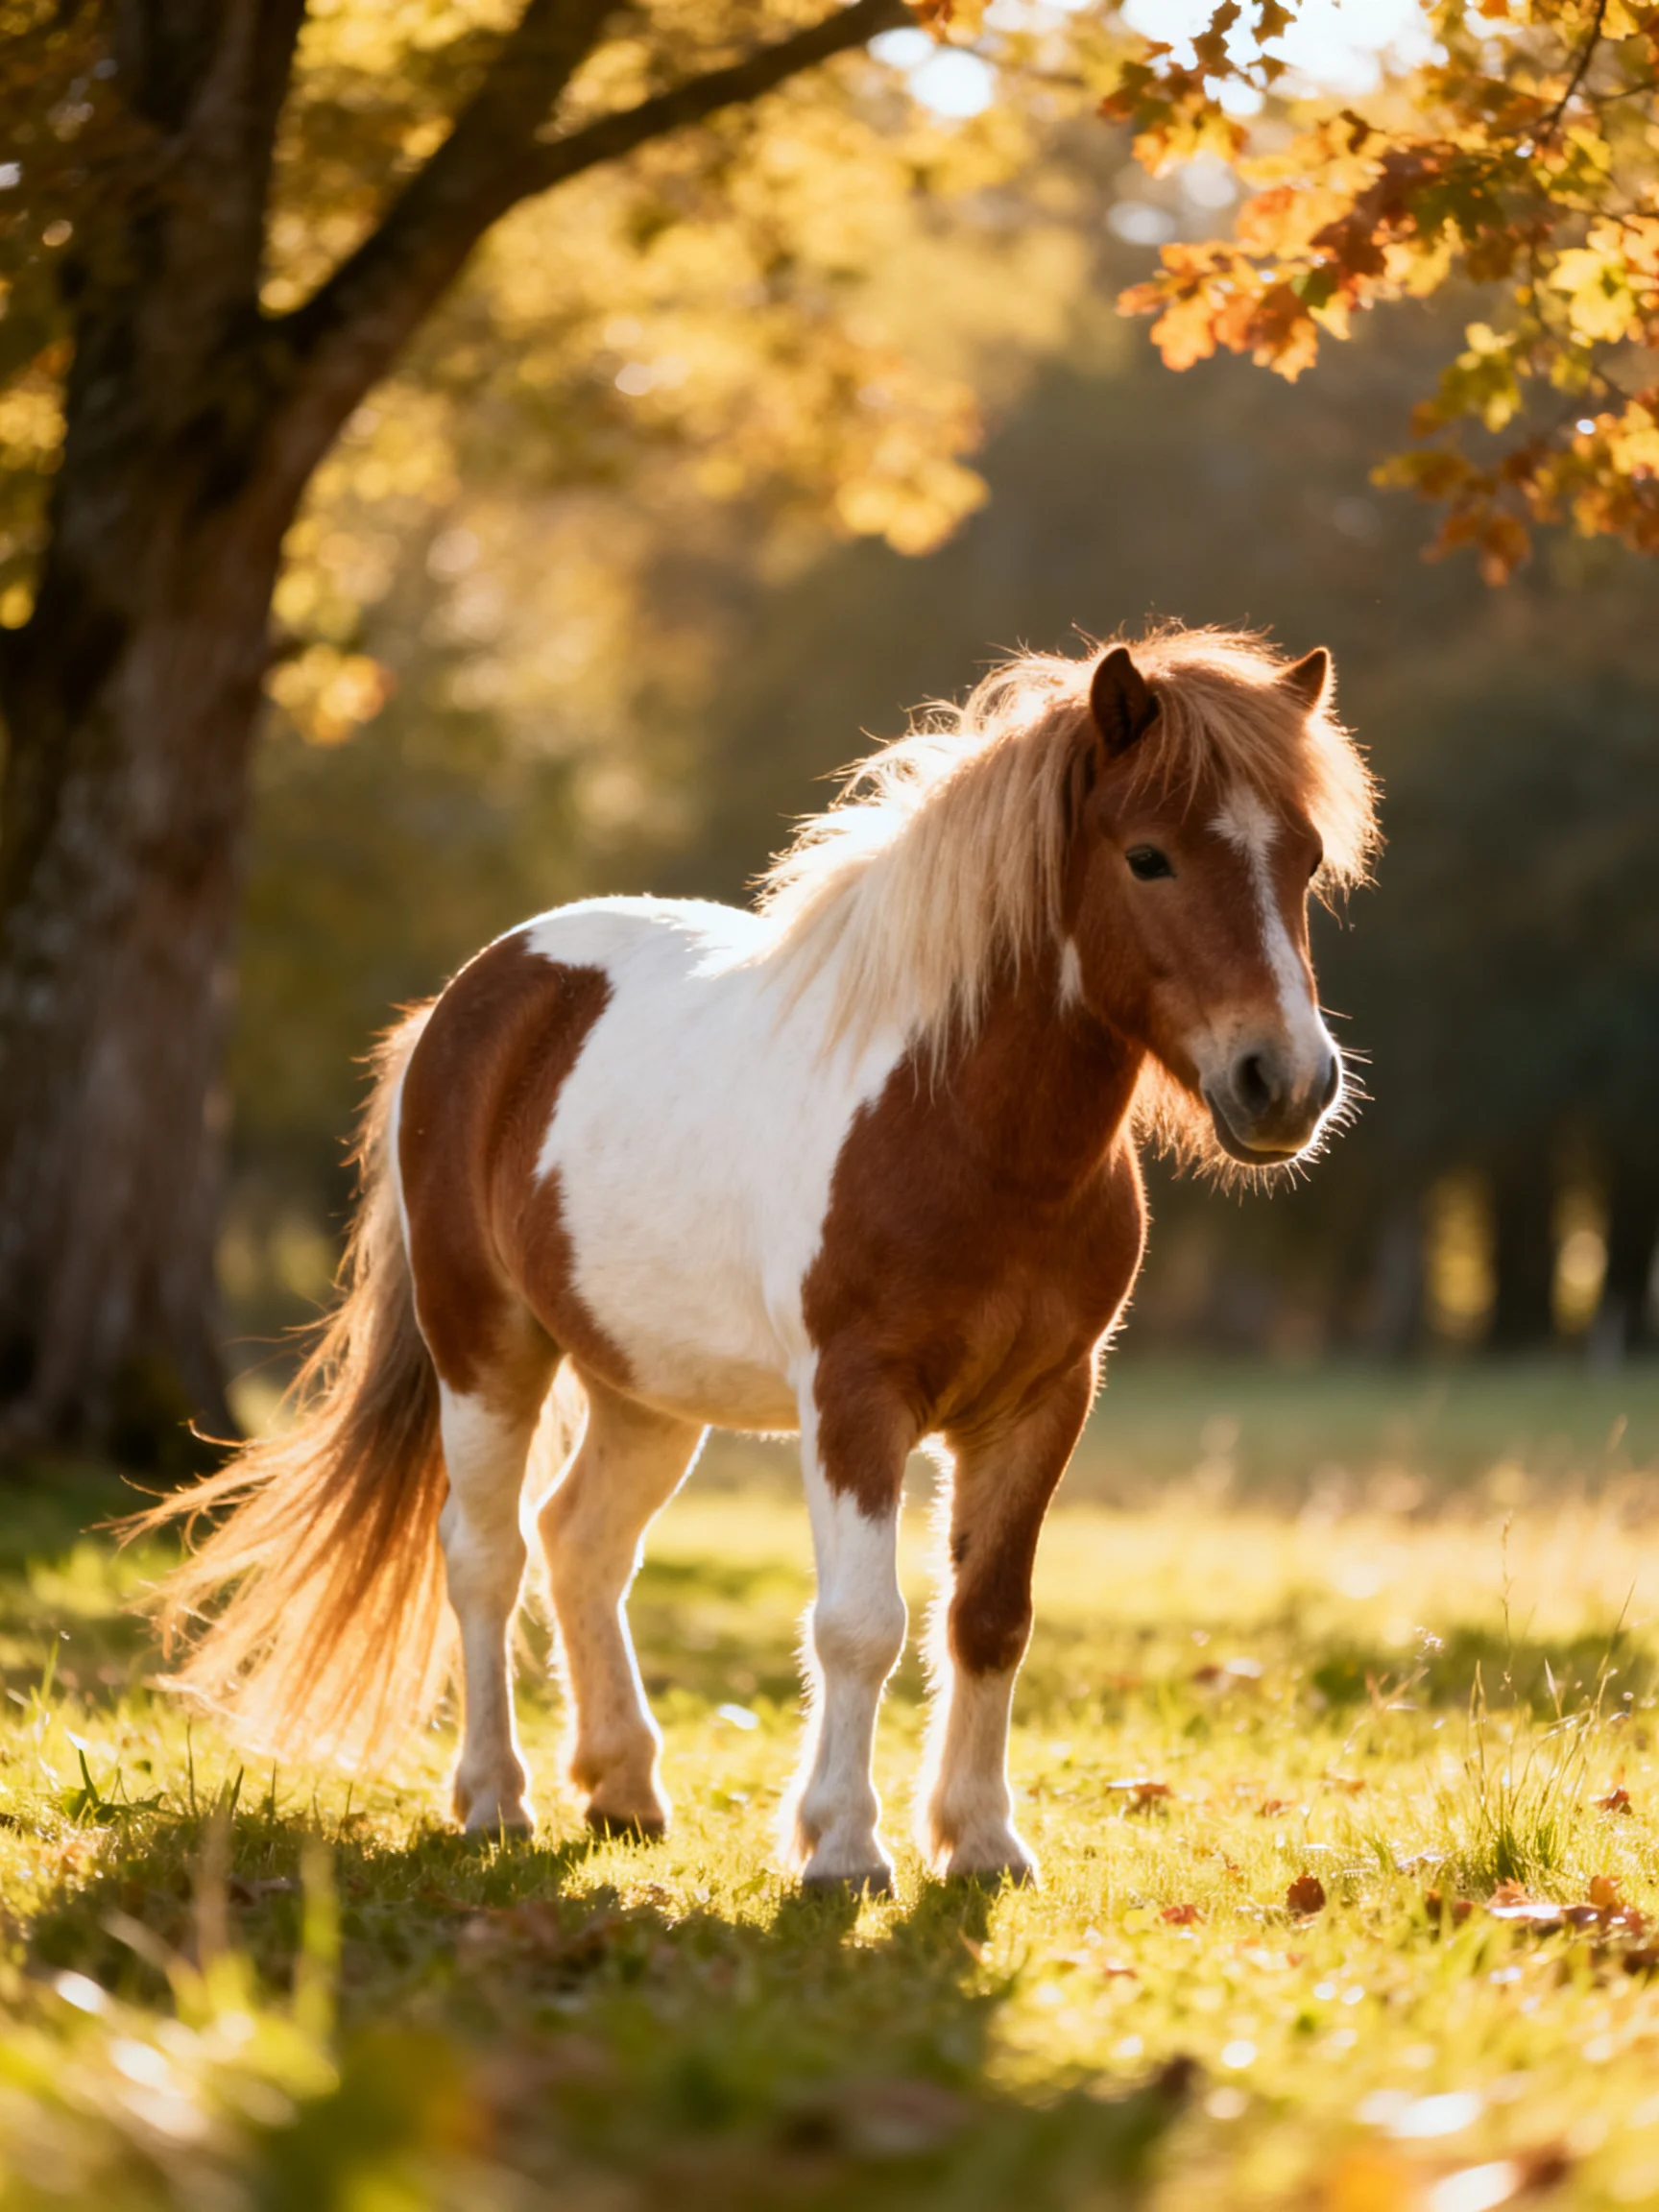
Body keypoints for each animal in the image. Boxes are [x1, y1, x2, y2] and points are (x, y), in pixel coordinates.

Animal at [144, 626, 1377, 1891]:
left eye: (1305, 860)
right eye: (1148, 858)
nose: (1286, 1084)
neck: (965, 1128)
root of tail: (469, 999)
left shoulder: (1041, 1401)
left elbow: (990, 1617)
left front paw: (982, 1842)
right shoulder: (856, 1398)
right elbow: (861, 1624)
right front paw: (845, 1846)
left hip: (642, 1388)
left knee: (581, 1543)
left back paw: (624, 1789)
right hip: (486, 1354)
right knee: (486, 1554)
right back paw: (498, 1798)